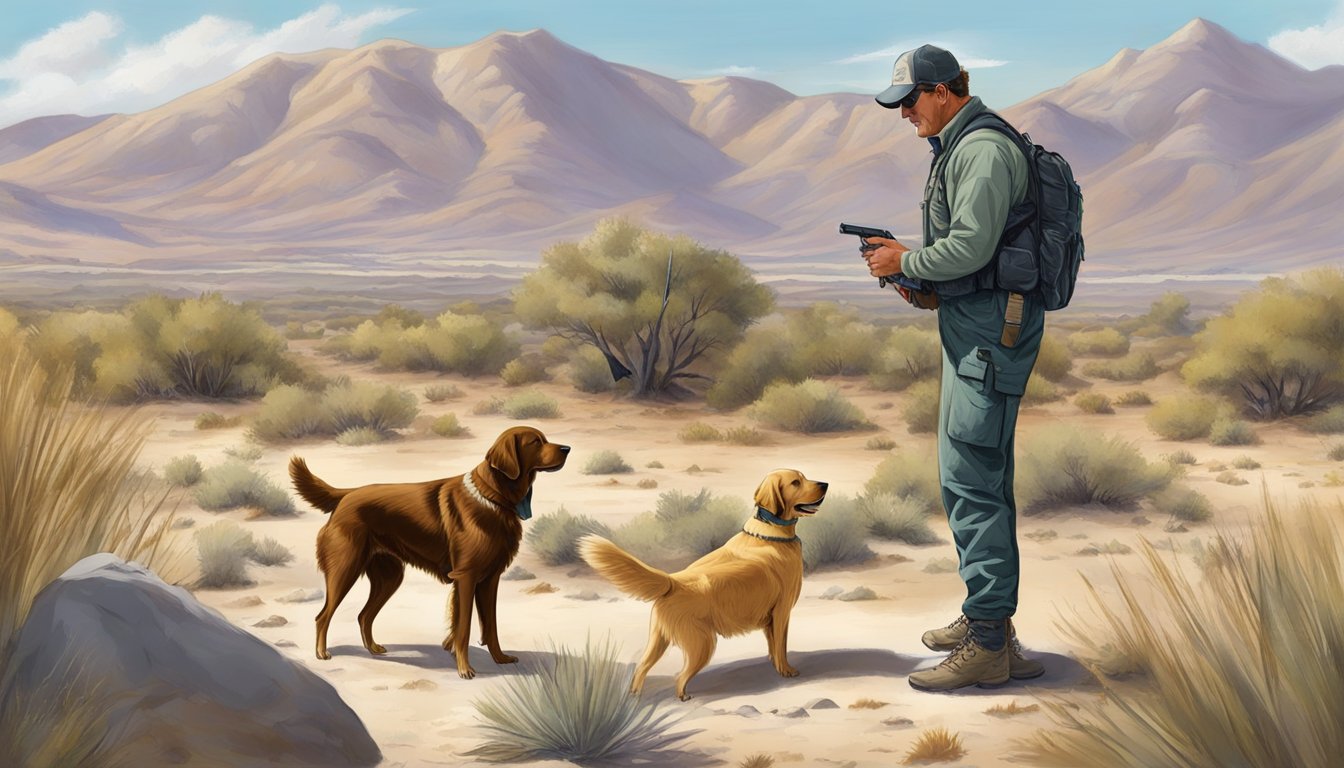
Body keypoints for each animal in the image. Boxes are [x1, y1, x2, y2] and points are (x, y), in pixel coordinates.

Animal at [288, 427, 567, 677]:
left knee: (363, 615)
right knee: (323, 615)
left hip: (389, 577)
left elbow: (491, 627)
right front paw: (464, 669)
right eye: (535, 442)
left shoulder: (489, 580)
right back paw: (322, 652)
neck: (493, 497)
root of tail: (346, 495)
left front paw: (499, 658)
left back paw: (374, 648)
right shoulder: (466, 577)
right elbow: (464, 628)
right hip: (345, 570)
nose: (567, 449)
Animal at [580, 470, 822, 699]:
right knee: (680, 675)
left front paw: (774, 664)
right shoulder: (781, 612)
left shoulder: (770, 618)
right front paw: (786, 670)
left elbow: (773, 646)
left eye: (804, 477)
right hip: (703, 643)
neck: (771, 533)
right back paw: (683, 695)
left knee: (641, 667)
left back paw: (635, 697)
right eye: (795, 482)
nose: (825, 484)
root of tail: (673, 581)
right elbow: (781, 646)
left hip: (659, 640)